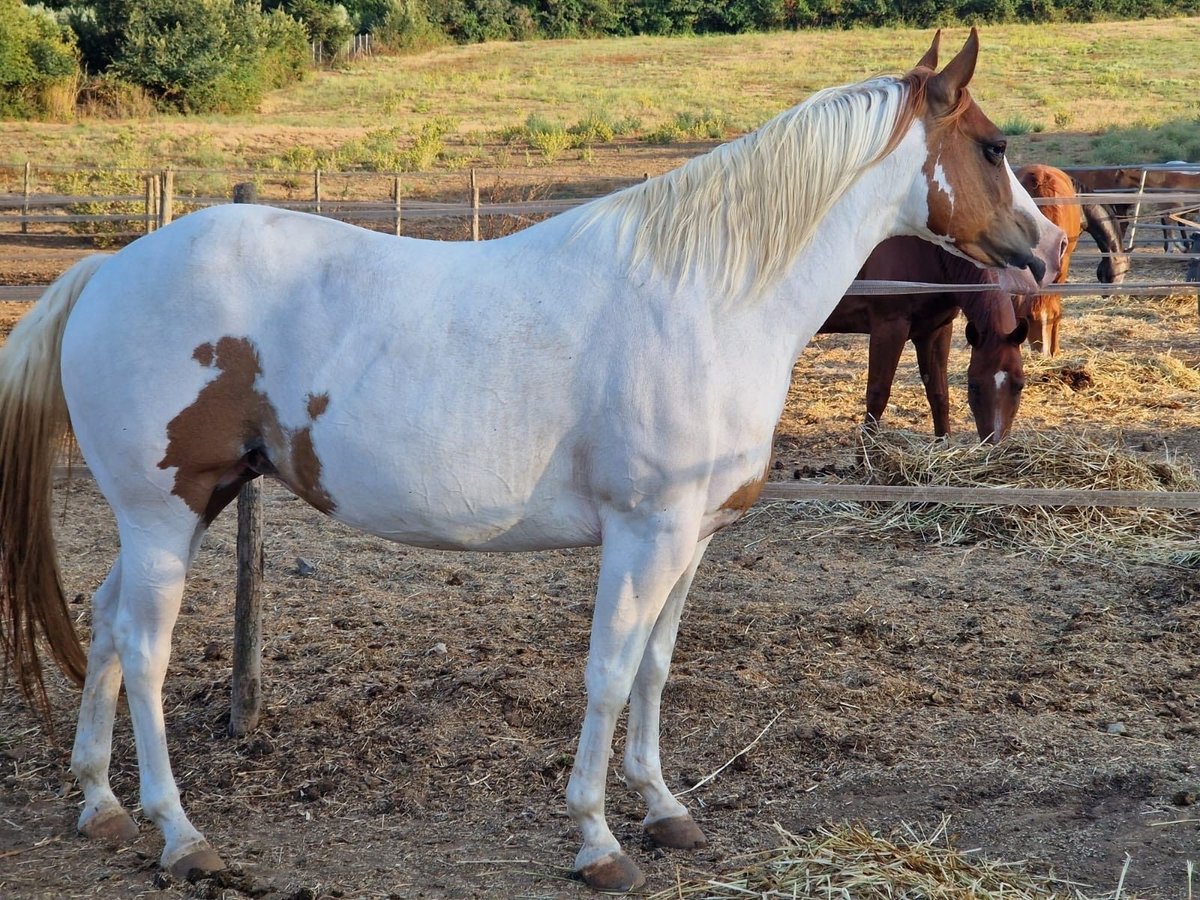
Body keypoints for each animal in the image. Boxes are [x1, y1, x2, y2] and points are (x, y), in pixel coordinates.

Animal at [820, 235, 1028, 443]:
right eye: (973, 385)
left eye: (1019, 386)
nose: (994, 442)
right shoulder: (889, 327)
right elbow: (877, 394)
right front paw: (867, 452)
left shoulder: (936, 332)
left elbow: (939, 394)